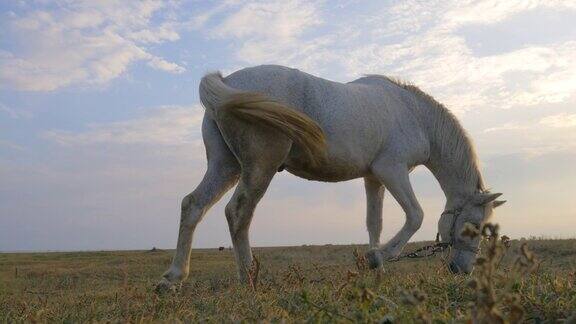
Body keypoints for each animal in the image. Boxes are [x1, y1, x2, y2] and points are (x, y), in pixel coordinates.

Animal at [155, 64, 506, 292]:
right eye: (474, 227)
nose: (461, 270)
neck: (415, 115)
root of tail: (225, 80)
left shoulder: (374, 178)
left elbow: (374, 223)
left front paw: (375, 267)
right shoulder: (392, 171)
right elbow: (415, 216)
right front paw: (379, 257)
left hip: (225, 166)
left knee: (193, 206)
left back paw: (173, 277)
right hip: (258, 168)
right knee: (238, 213)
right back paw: (248, 280)